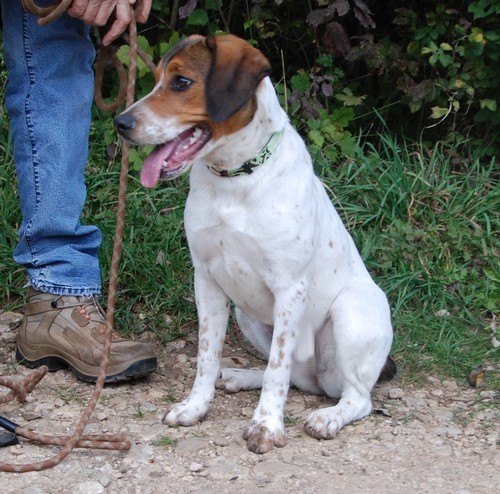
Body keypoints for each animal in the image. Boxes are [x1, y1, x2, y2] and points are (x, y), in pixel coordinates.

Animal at [115, 32, 396, 454]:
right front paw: (195, 407)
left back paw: (327, 417)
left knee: (355, 397)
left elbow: (278, 367)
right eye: (157, 79)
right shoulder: (207, 279)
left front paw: (266, 425)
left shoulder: (290, 288)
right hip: (247, 314)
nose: (120, 123)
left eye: (181, 82)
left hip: (352, 311)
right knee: (294, 376)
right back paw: (241, 376)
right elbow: (207, 355)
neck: (235, 179)